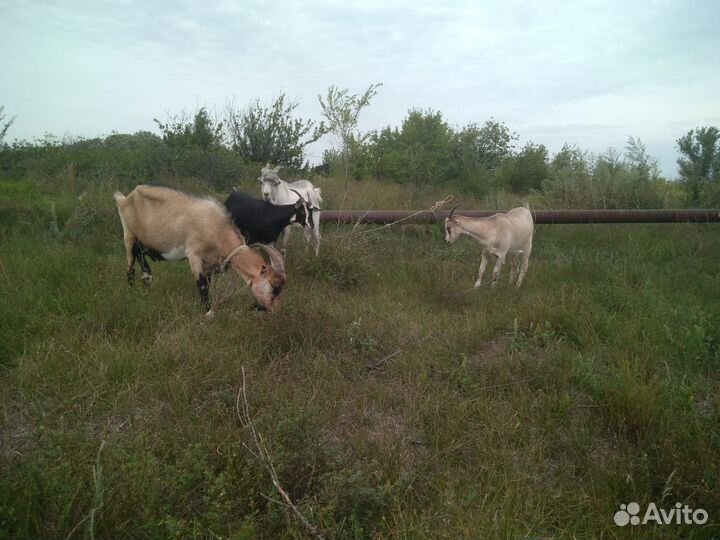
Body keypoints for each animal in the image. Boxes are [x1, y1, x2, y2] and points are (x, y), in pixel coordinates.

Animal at [114, 184, 286, 316]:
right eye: (274, 286)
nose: (275, 311)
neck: (216, 228)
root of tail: (125, 198)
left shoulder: (209, 263)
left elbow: (207, 283)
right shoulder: (194, 254)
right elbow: (202, 284)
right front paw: (208, 314)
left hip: (141, 240)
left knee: (140, 254)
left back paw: (147, 280)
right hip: (128, 235)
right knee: (130, 266)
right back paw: (132, 294)